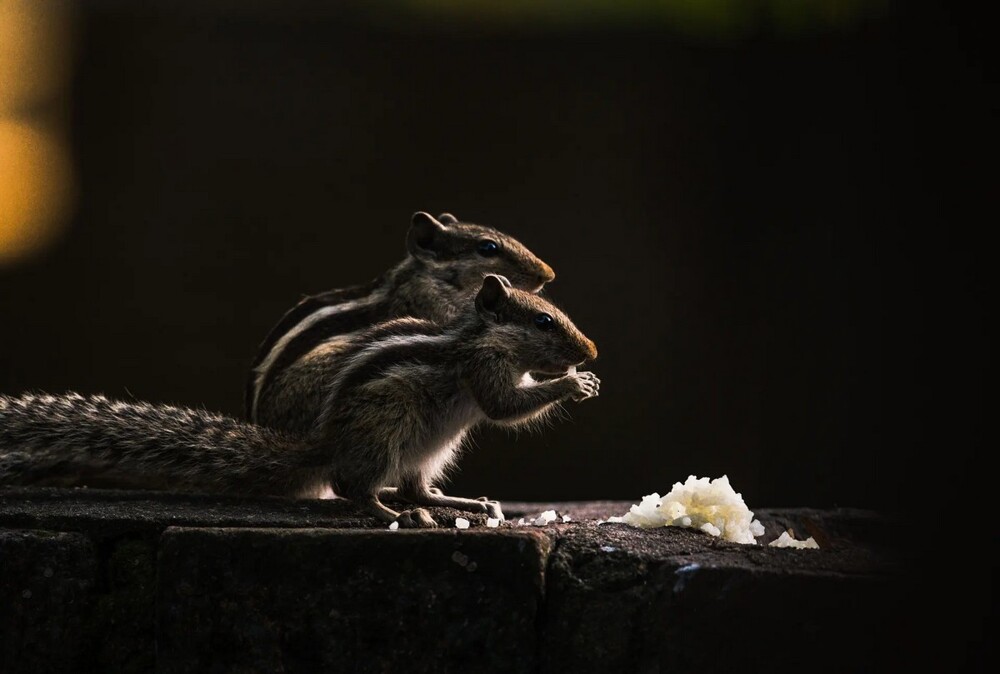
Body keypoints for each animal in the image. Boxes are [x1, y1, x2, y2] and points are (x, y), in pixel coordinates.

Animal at [0, 272, 596, 524]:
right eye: (543, 322)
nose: (589, 350)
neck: (477, 336)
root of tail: (325, 442)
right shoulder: (483, 368)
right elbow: (502, 408)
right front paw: (572, 383)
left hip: (432, 449)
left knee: (416, 488)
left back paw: (453, 503)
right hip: (387, 430)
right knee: (353, 484)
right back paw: (383, 509)